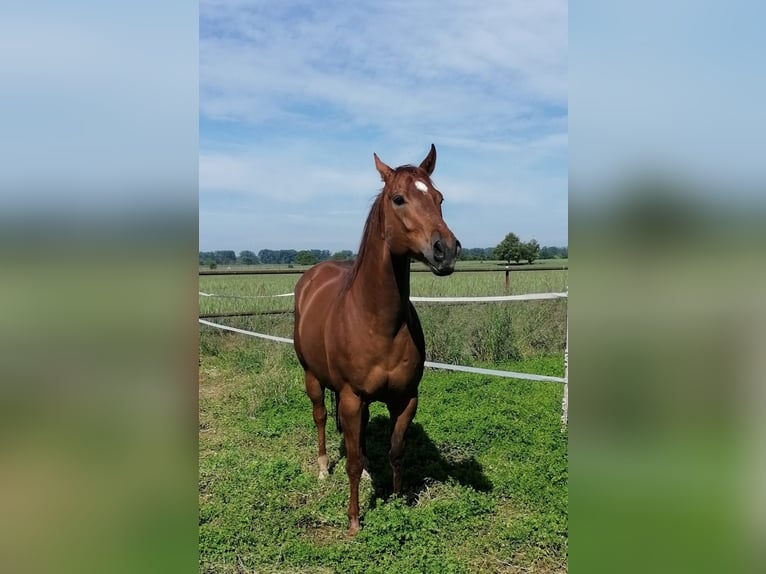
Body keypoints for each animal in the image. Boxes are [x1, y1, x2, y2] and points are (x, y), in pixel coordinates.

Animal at [294, 144, 462, 536]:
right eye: (399, 199)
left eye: (439, 198)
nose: (446, 250)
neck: (378, 322)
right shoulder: (351, 398)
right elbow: (352, 461)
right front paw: (354, 521)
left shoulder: (406, 398)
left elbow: (396, 452)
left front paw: (399, 503)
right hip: (312, 378)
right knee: (321, 417)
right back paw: (323, 468)